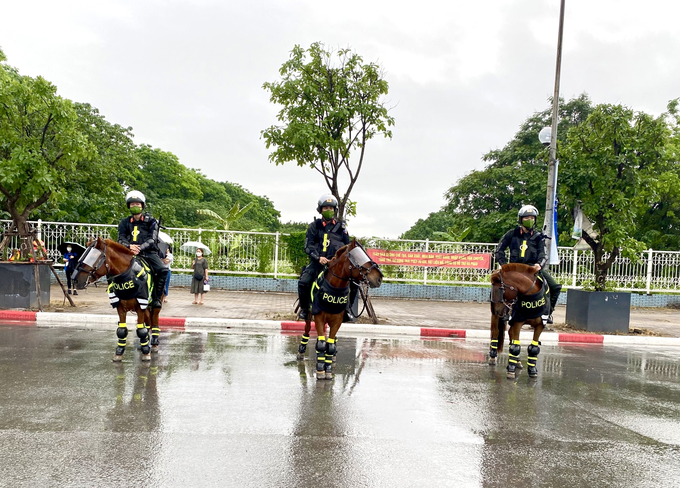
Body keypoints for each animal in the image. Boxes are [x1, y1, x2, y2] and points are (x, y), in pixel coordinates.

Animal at [296, 238, 382, 380]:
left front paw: (328, 368)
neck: (335, 287)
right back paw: (302, 351)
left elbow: (330, 344)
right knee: (307, 331)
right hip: (308, 314)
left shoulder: (337, 320)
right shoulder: (319, 318)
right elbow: (321, 343)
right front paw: (321, 369)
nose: (379, 278)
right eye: (357, 257)